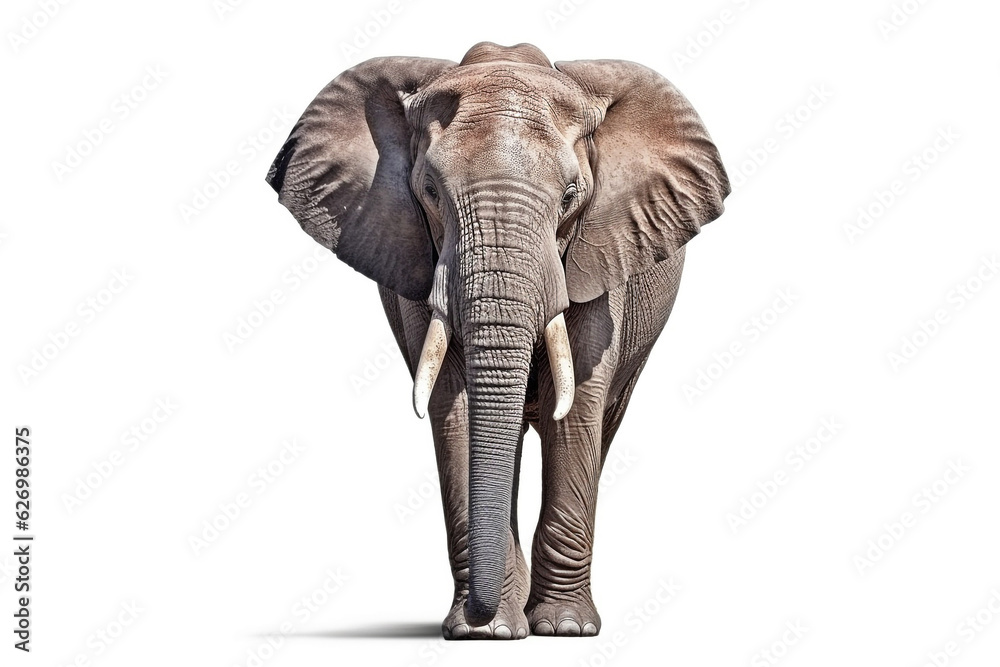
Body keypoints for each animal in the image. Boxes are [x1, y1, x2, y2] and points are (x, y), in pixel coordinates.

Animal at [265, 41, 729, 640]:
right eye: (430, 193)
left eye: (571, 197)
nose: (483, 614)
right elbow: (455, 406)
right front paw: (483, 633)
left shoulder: (603, 254)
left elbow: (577, 408)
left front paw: (564, 629)